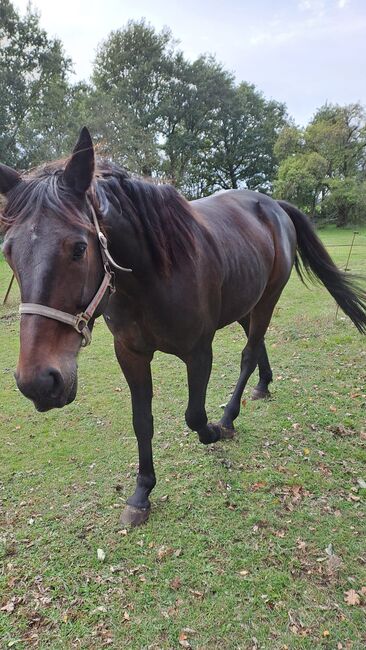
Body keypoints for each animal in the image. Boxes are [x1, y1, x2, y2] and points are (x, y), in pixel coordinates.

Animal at [0, 128, 366, 528]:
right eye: (8, 252)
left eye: (79, 248)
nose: (38, 382)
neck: (152, 277)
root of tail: (273, 206)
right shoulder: (130, 353)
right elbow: (141, 421)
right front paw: (141, 493)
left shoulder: (198, 351)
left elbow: (194, 416)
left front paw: (213, 431)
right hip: (245, 301)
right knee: (257, 345)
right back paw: (263, 386)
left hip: (267, 298)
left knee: (249, 352)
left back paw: (230, 417)